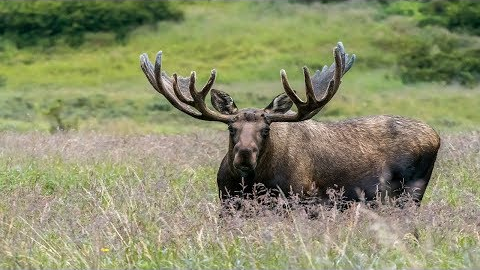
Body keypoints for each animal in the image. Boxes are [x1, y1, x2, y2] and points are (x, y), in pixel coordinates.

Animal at [139, 42, 438, 207]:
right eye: (231, 128)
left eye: (266, 130)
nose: (244, 155)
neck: (252, 185)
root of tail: (436, 136)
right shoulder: (227, 202)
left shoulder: (300, 201)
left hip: (411, 192)